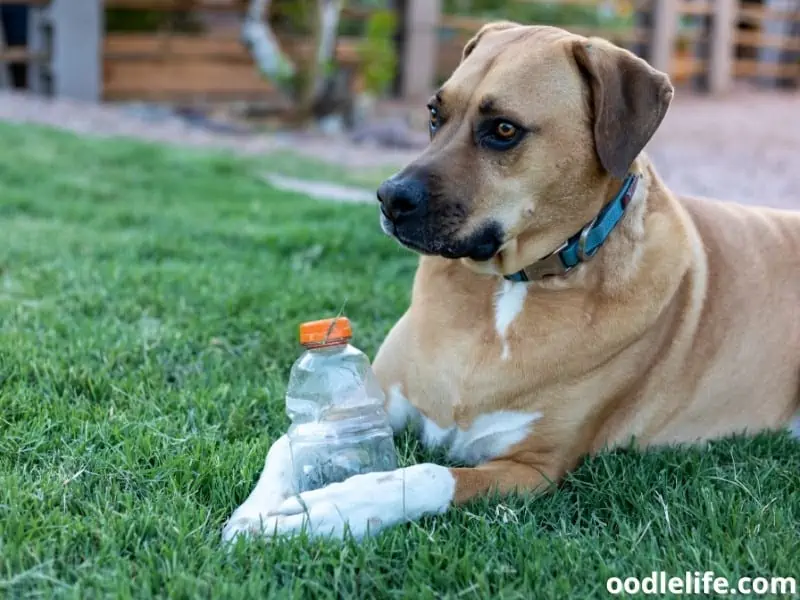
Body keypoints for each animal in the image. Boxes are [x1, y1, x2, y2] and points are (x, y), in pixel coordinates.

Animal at [223, 23, 800, 540]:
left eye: (503, 130)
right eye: (434, 114)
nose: (389, 198)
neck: (508, 287)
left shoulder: (532, 470)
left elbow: (425, 474)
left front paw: (328, 508)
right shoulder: (376, 401)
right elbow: (289, 443)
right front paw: (256, 509)